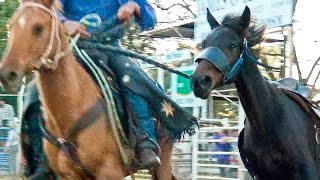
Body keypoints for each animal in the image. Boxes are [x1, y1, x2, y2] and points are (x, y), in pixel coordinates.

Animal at [0, 0, 175, 179]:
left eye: (38, 27)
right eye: (11, 25)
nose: (7, 74)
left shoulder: (110, 172)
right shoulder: (68, 175)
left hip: (163, 161)